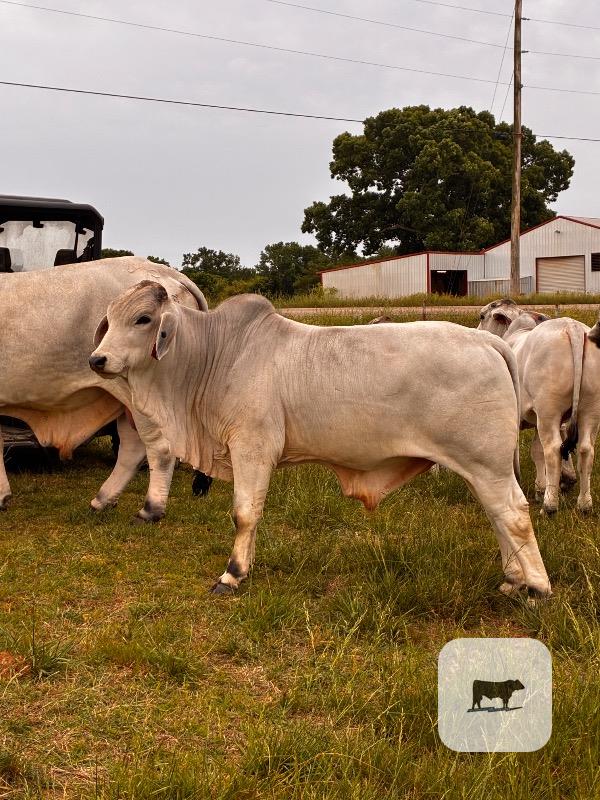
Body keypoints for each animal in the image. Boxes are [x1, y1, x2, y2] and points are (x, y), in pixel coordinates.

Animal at [89, 284, 551, 599]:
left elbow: (244, 514)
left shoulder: (252, 447)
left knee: (513, 514)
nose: (97, 359)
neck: (218, 354)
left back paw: (536, 588)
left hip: (486, 464)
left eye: (143, 319)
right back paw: (513, 579)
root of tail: (486, 341)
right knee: (496, 515)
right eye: (109, 318)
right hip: (480, 468)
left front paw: (232, 574)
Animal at [479, 302, 600, 515]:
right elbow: (536, 451)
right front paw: (541, 487)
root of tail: (572, 326)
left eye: (482, 316)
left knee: (552, 449)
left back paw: (550, 506)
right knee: (585, 449)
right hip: (590, 410)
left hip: (548, 411)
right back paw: (584, 505)